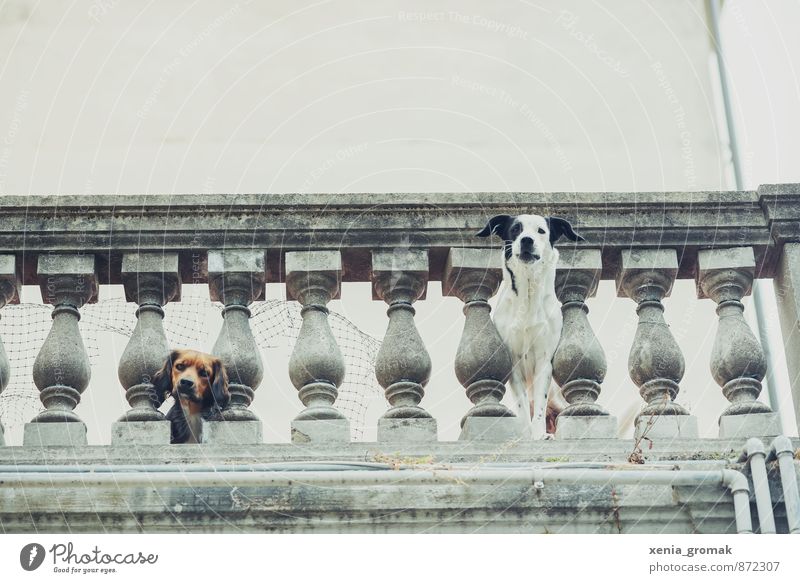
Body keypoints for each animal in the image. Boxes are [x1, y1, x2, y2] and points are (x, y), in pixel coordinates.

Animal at [478, 213, 584, 438]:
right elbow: (523, 410)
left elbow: (539, 412)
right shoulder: (514, 365)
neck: (527, 294)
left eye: (541, 231)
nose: (527, 240)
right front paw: (527, 436)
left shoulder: (544, 363)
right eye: (515, 229)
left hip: (558, 399)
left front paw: (537, 435)